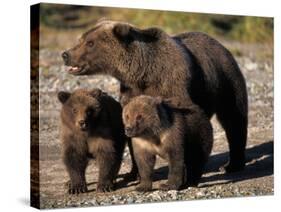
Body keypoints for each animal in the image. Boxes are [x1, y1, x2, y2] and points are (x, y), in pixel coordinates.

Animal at [61, 19, 247, 172]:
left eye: (90, 43)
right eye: (81, 39)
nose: (65, 54)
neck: (143, 73)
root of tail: (220, 44)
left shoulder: (172, 85)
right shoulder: (130, 92)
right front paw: (134, 172)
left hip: (225, 78)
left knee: (234, 118)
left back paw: (231, 165)